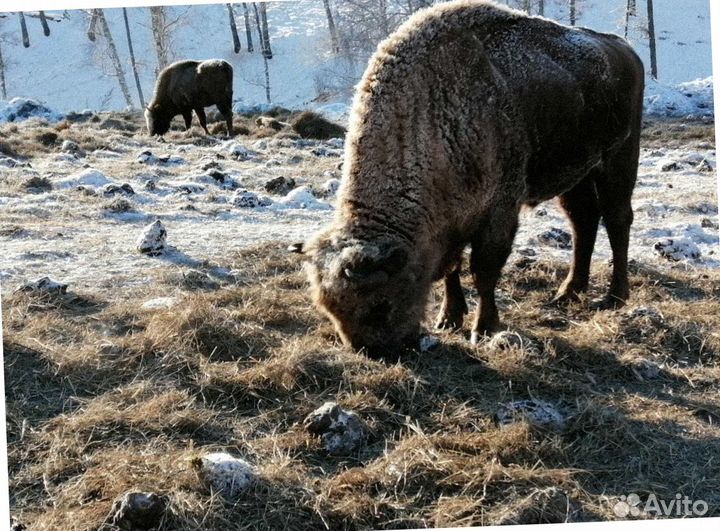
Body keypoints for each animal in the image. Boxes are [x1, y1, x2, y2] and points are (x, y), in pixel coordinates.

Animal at [296, 0, 644, 360]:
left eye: (380, 304)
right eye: (330, 309)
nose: (377, 351)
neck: (431, 121)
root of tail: (624, 49)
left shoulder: (498, 212)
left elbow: (483, 271)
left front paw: (483, 328)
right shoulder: (452, 223)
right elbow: (453, 269)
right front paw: (448, 318)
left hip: (618, 160)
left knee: (617, 220)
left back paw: (614, 296)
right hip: (577, 176)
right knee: (583, 222)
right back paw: (568, 292)